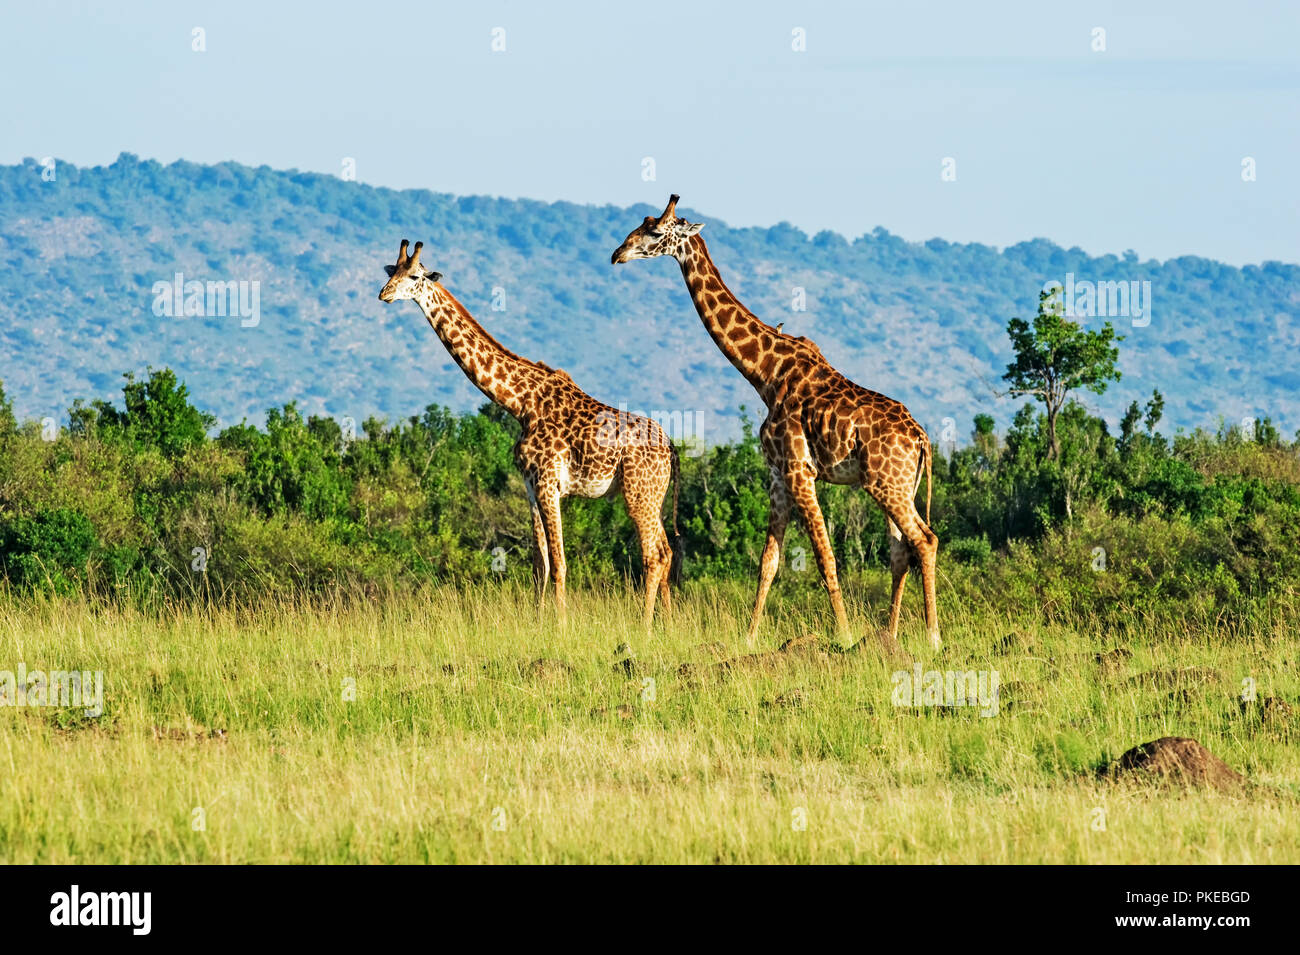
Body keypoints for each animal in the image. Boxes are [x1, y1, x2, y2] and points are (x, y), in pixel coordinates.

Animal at [378, 239, 680, 628]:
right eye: (391, 272)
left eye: (414, 276)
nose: (384, 294)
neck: (520, 402)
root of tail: (671, 449)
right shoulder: (530, 485)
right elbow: (540, 563)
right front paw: (539, 623)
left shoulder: (549, 482)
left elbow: (560, 563)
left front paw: (561, 626)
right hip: (654, 496)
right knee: (667, 551)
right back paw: (668, 623)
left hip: (638, 494)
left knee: (653, 556)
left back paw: (644, 627)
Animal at [612, 196, 939, 655]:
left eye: (655, 231)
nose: (617, 254)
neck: (764, 373)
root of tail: (922, 438)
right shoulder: (778, 475)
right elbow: (769, 560)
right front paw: (749, 638)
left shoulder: (800, 470)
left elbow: (824, 556)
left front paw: (843, 634)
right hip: (896, 486)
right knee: (901, 551)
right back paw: (888, 637)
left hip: (886, 485)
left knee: (924, 540)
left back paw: (932, 637)